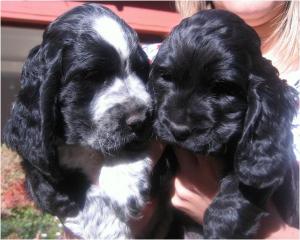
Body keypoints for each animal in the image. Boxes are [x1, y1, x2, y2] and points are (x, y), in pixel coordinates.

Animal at [2, 3, 157, 238]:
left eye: (141, 71)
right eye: (91, 76)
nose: (141, 120)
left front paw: (124, 180)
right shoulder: (39, 171)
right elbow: (77, 197)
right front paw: (113, 230)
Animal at [149, 8, 298, 238]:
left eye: (223, 89)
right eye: (166, 77)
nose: (177, 130)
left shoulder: (265, 159)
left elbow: (246, 176)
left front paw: (222, 223)